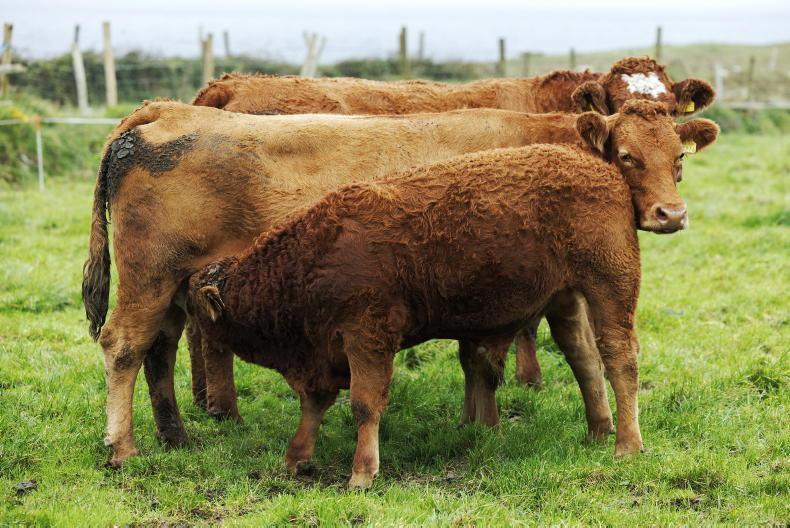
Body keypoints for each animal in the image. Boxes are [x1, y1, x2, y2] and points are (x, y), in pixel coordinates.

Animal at [83, 100, 718, 467]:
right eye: (628, 156)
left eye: (679, 158)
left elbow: (577, 355)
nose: (670, 214)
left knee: (158, 352)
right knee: (123, 347)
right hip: (149, 281)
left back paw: (175, 437)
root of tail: (162, 116)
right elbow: (499, 359)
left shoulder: (556, 291)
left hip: (173, 290)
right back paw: (123, 448)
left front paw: (597, 429)